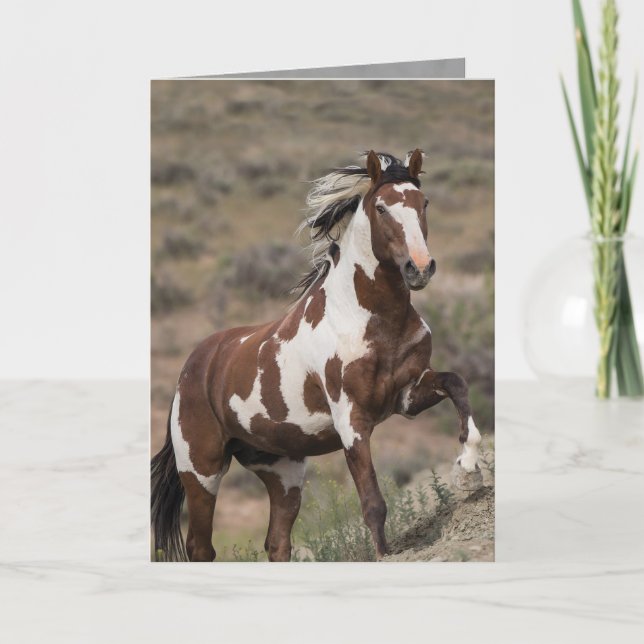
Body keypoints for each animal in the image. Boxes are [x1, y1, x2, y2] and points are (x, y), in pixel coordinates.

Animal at [151, 149, 484, 562]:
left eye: (424, 203)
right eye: (381, 207)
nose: (419, 268)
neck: (369, 318)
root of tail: (190, 371)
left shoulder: (407, 395)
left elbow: (457, 383)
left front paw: (468, 465)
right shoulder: (352, 420)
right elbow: (373, 504)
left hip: (282, 472)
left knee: (277, 542)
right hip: (201, 471)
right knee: (201, 547)